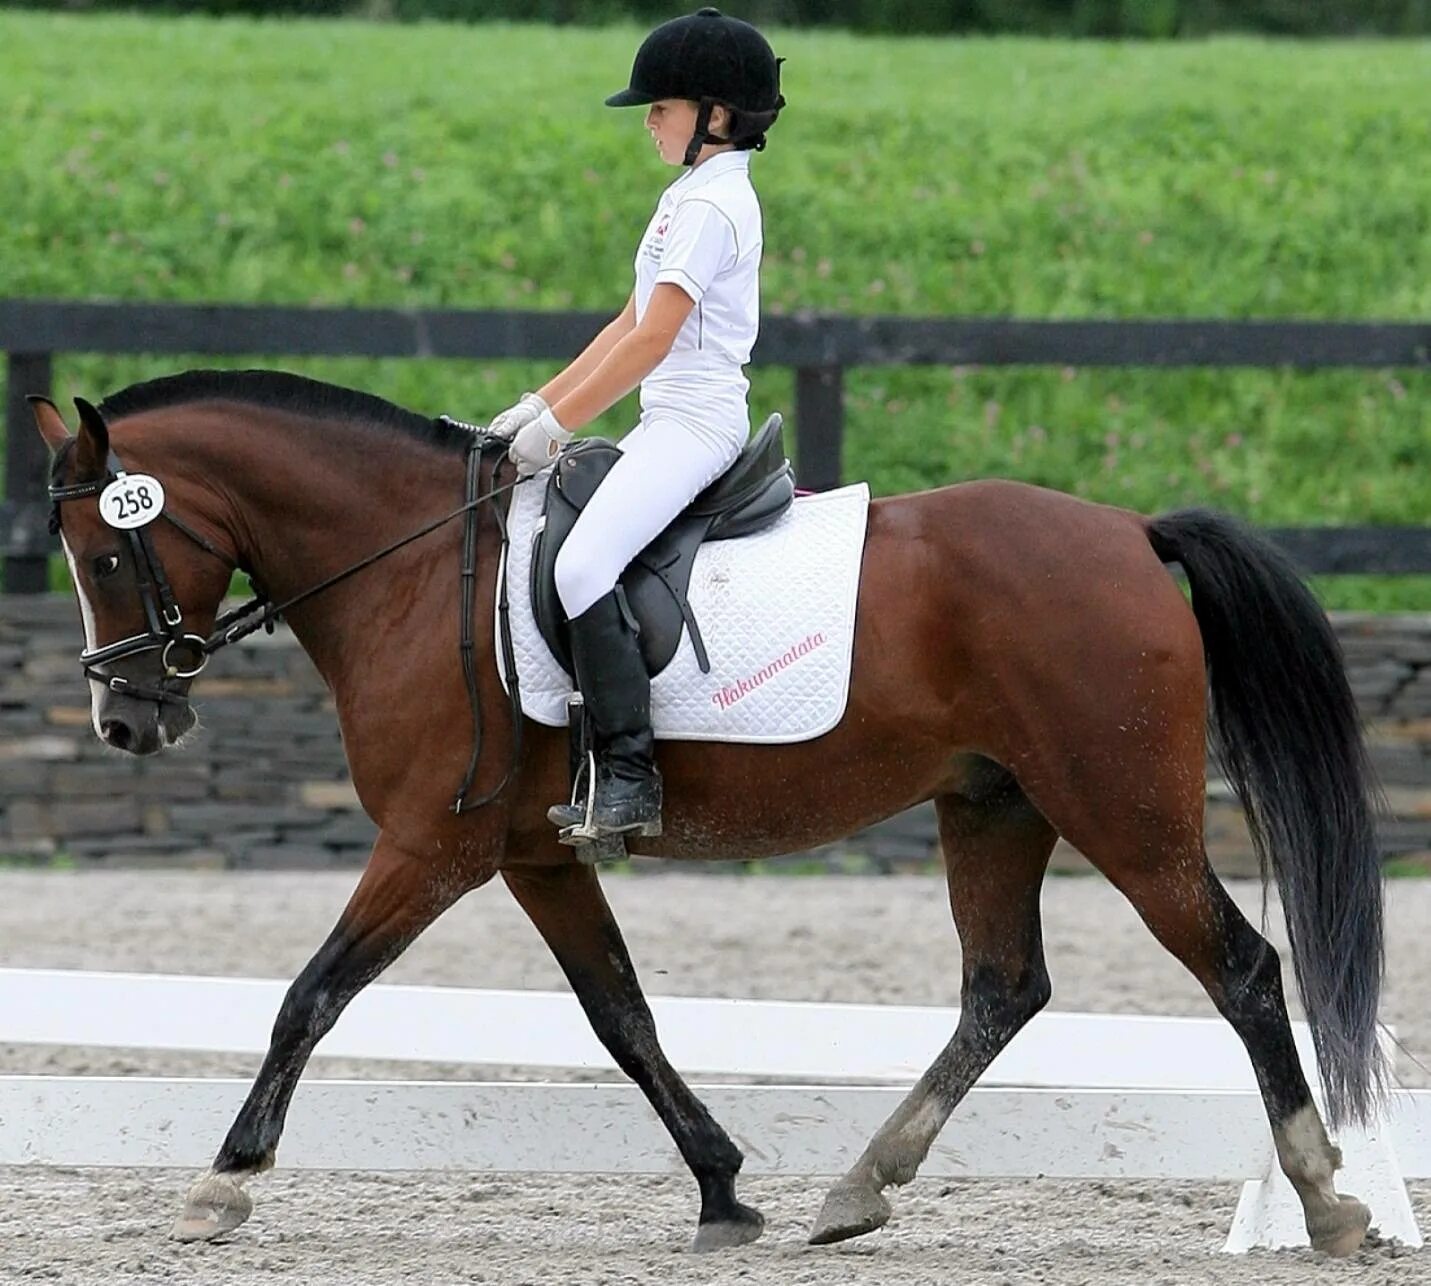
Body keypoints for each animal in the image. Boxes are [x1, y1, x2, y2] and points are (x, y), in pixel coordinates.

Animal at [33, 369, 1379, 1258]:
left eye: (101, 556)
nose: (126, 723)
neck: (410, 567)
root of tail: (1130, 532)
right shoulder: (535, 855)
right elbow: (622, 1015)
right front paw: (725, 1190)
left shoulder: (433, 845)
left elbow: (310, 994)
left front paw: (223, 1180)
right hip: (994, 805)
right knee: (1004, 986)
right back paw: (860, 1185)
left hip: (1120, 810)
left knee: (1241, 966)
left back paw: (1326, 1195)